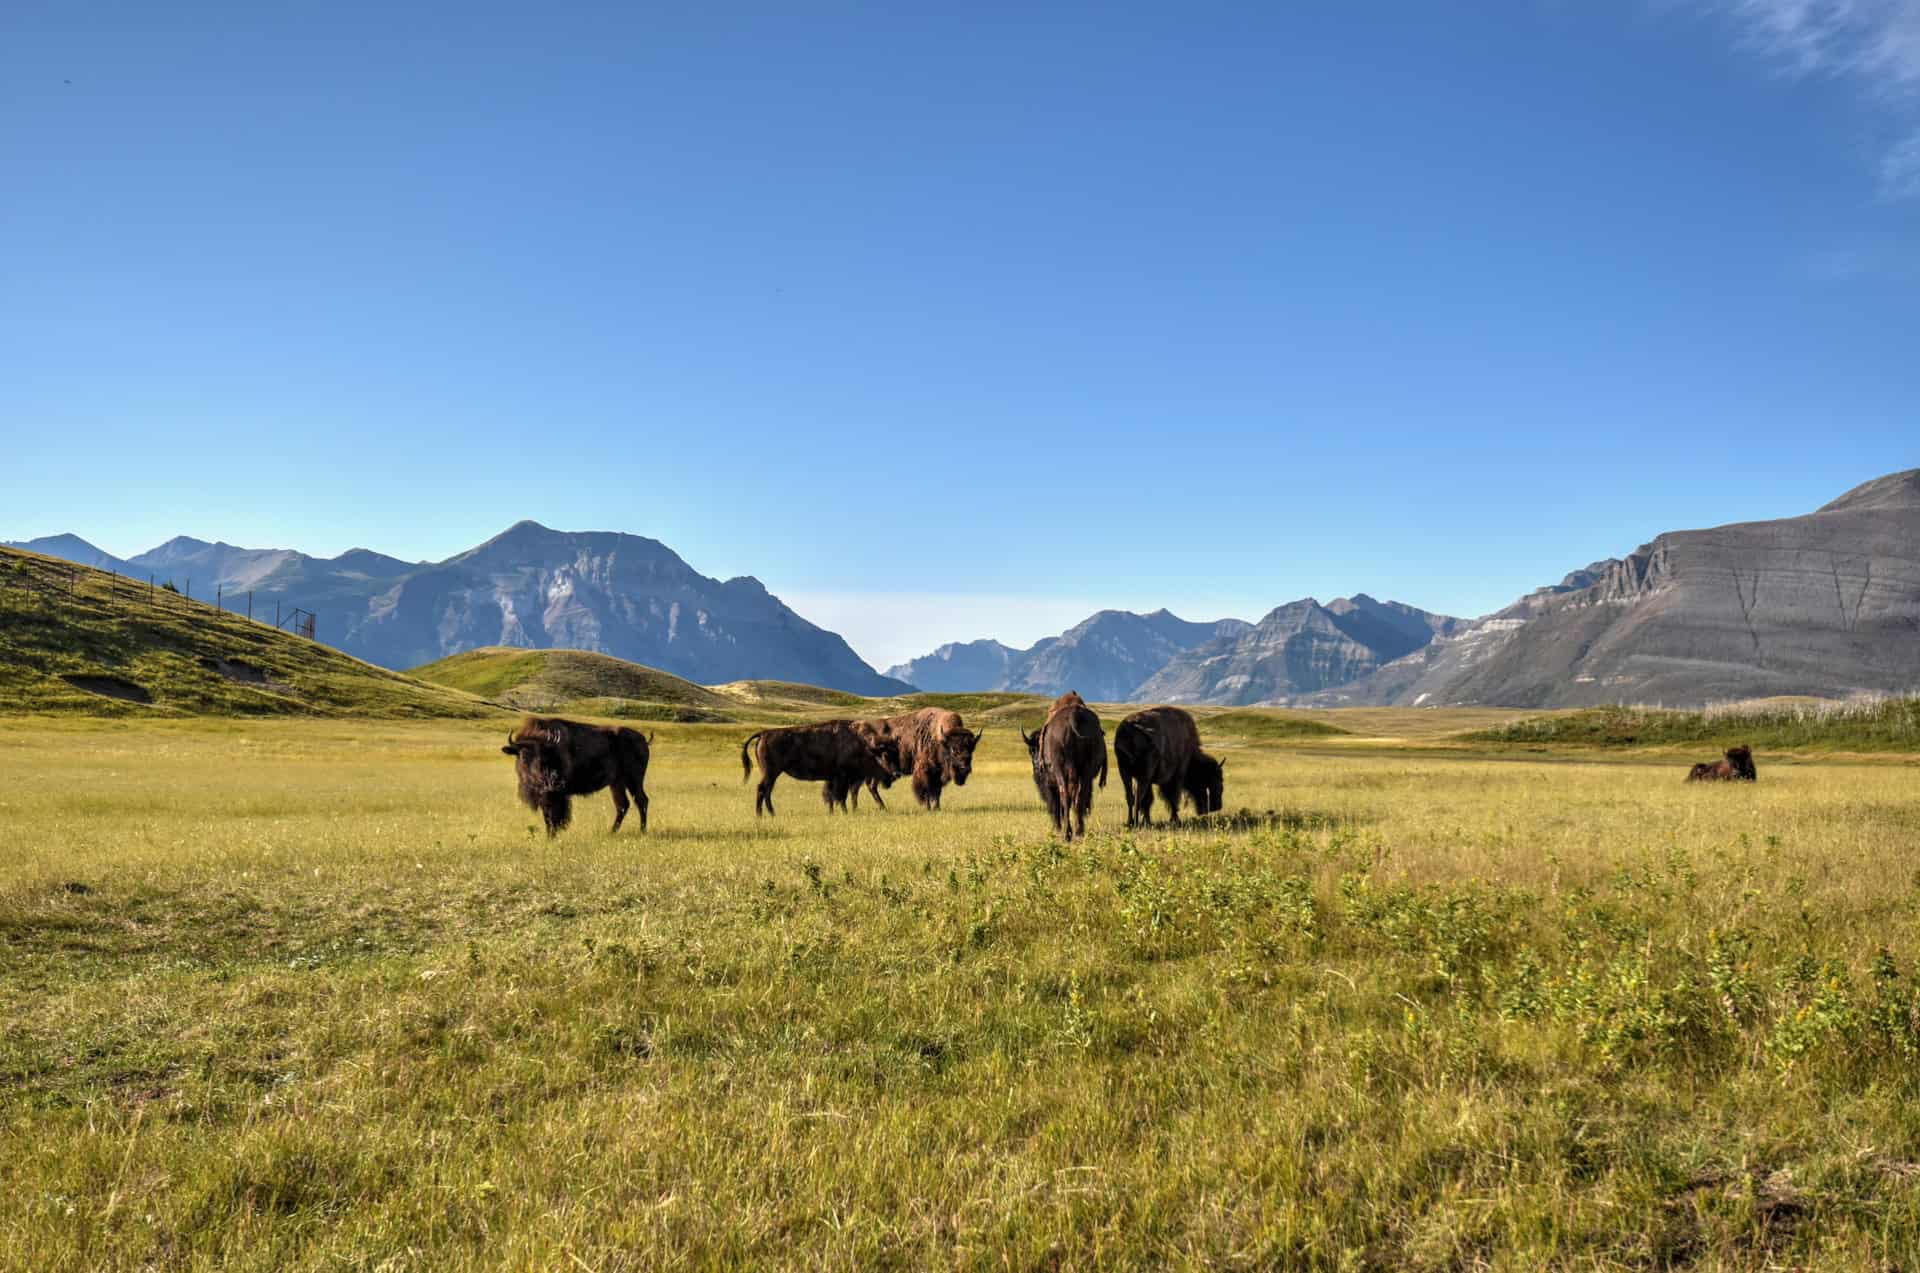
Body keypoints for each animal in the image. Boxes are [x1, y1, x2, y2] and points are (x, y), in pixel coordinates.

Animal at [502, 717, 652, 836]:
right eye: (523, 756)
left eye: (544, 757)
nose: (544, 781)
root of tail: (644, 740)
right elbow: (549, 816)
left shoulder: (555, 795)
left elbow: (554, 816)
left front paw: (552, 836)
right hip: (617, 783)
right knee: (622, 805)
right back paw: (612, 832)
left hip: (634, 780)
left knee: (641, 801)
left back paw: (642, 831)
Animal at [742, 720, 902, 816]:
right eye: (885, 755)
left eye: (896, 753)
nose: (897, 773)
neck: (864, 746)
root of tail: (764, 733)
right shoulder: (842, 777)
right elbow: (840, 796)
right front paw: (844, 812)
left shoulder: (833, 778)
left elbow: (831, 796)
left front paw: (831, 813)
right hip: (771, 773)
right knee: (762, 789)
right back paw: (760, 815)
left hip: (773, 774)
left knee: (767, 791)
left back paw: (772, 813)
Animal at [1021, 691, 1107, 841]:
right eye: (1031, 750)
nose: (1037, 766)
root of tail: (1073, 716)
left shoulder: (1048, 785)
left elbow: (1055, 805)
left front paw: (1056, 828)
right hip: (1086, 771)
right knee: (1079, 796)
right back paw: (1079, 831)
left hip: (1060, 772)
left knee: (1064, 796)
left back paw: (1067, 833)